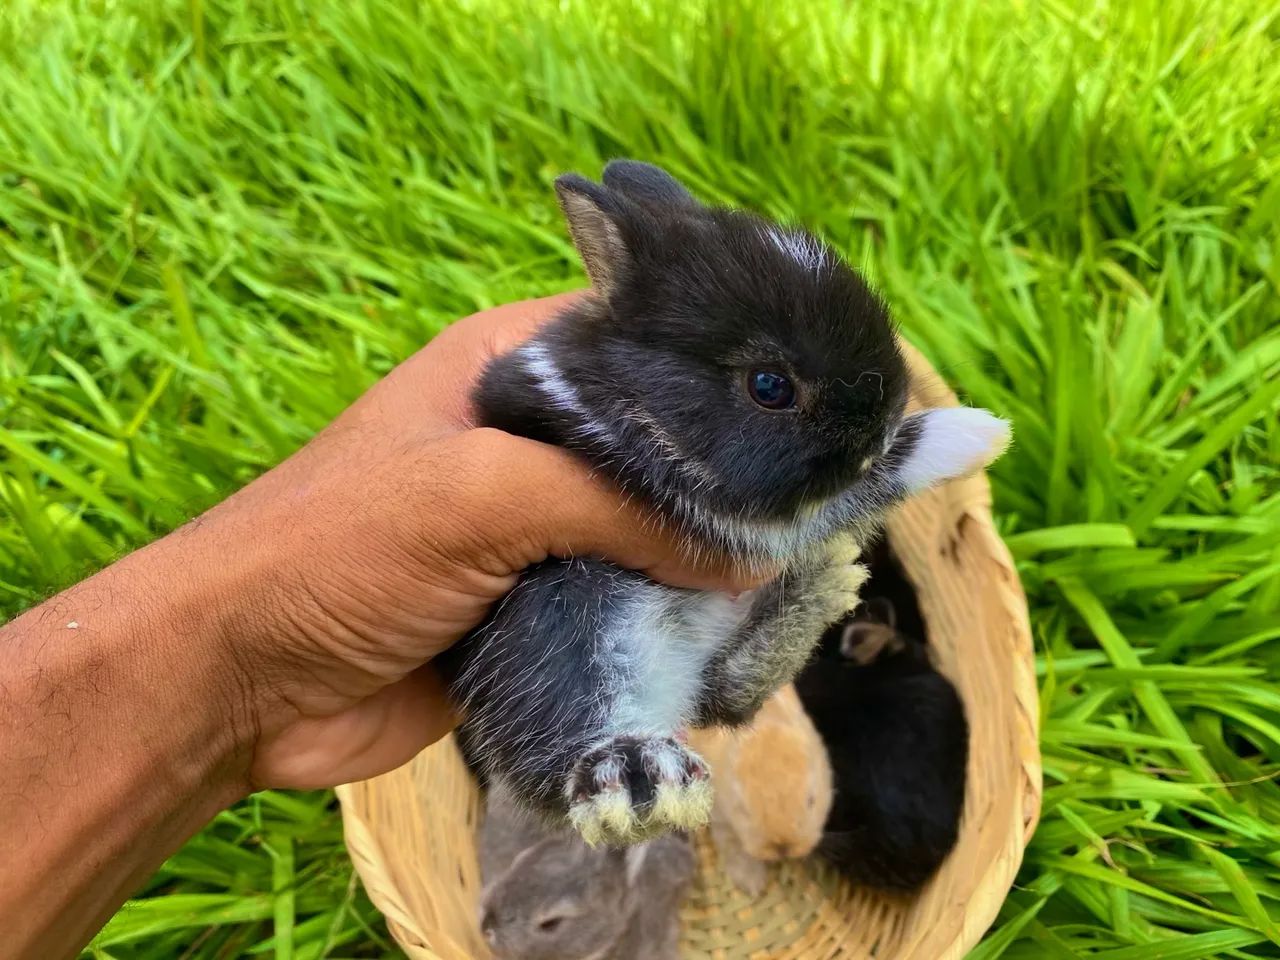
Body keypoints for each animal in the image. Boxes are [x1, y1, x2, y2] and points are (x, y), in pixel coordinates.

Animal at [437, 159, 1010, 846]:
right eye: (769, 386)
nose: (880, 426)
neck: (633, 398)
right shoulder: (724, 513)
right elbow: (860, 488)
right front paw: (977, 433)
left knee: (726, 692)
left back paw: (828, 583)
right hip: (559, 617)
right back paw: (642, 777)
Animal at [691, 685, 834, 896]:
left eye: (811, 801)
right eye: (743, 810)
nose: (782, 847)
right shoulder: (722, 818)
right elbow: (735, 849)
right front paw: (753, 884)